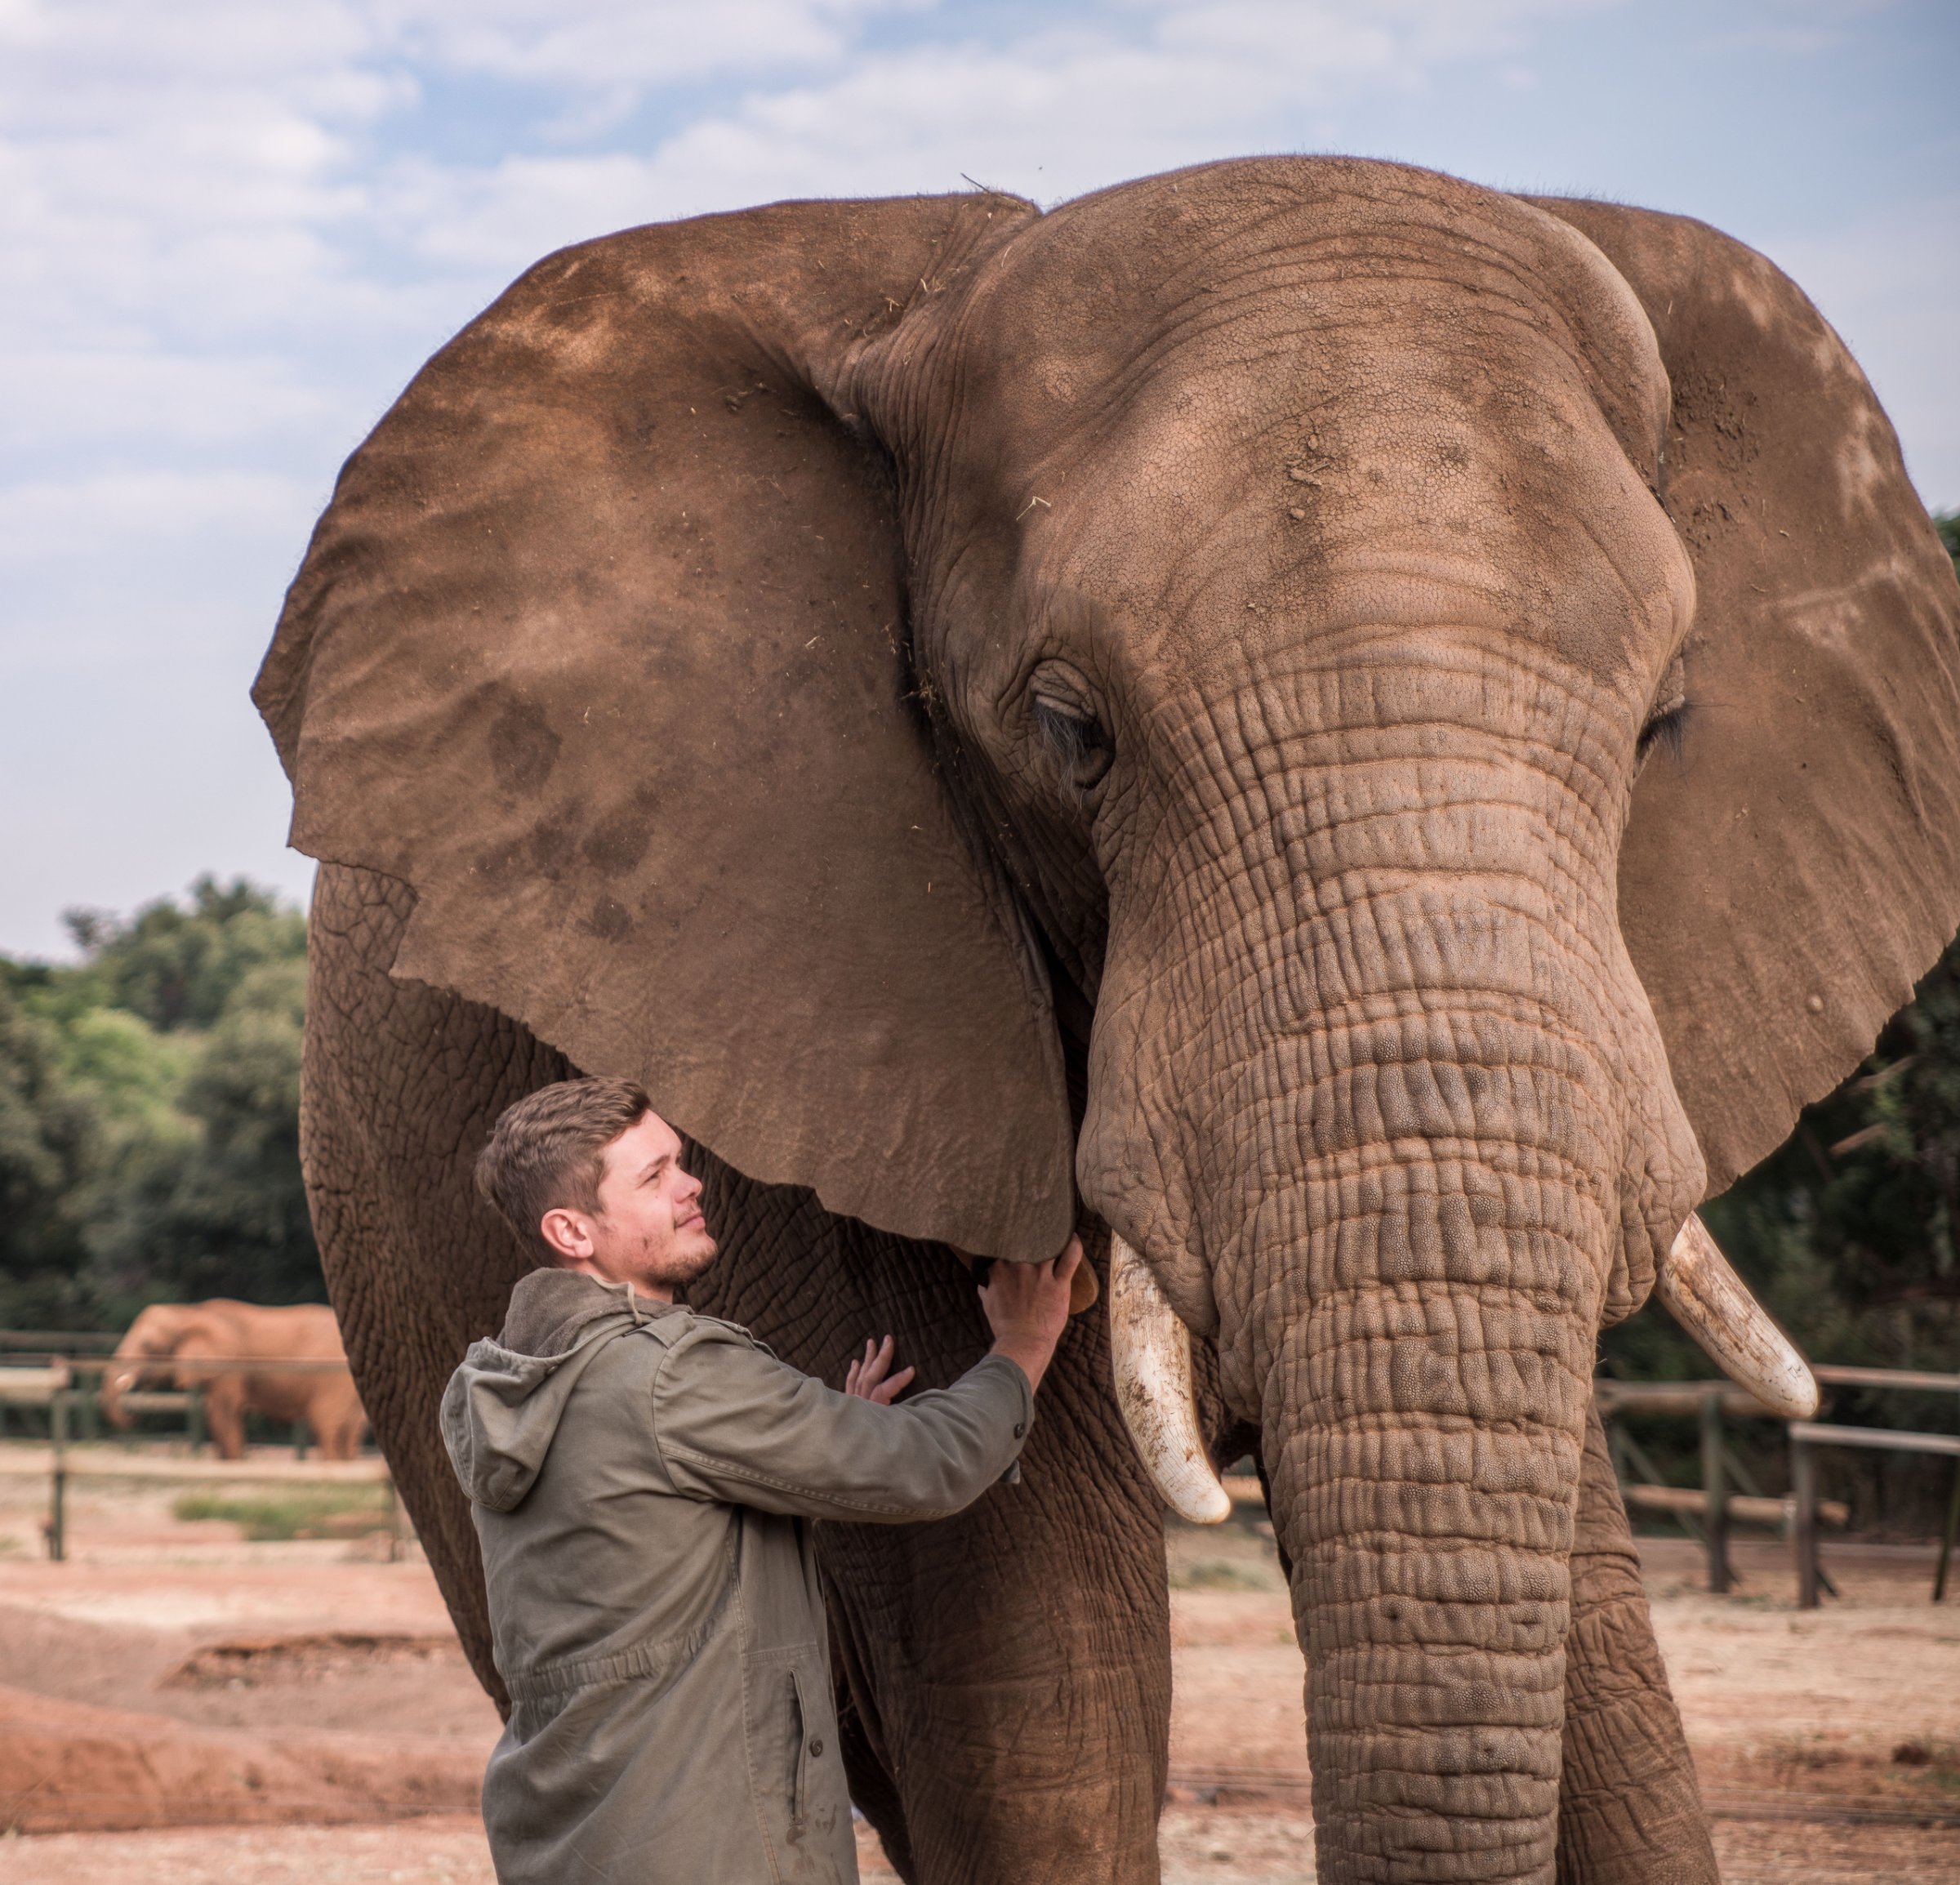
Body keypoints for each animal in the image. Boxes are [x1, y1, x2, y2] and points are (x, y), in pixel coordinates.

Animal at [100, 1300, 369, 1461]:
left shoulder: (228, 1364)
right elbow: (219, 1415)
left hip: (331, 1377)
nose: (134, 1414)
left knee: (326, 1424)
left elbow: (224, 1414)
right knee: (351, 1429)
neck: (190, 1312)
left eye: (147, 1344)